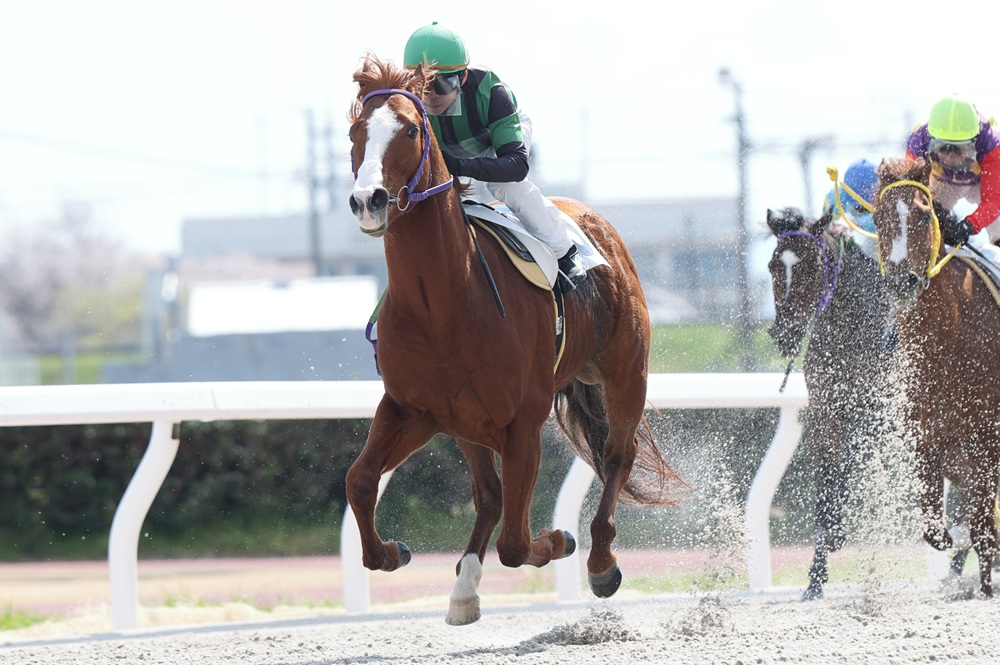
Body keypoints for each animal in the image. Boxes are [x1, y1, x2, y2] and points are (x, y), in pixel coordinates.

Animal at [344, 55, 678, 624]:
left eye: (410, 130)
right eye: (355, 132)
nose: (370, 201)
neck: (443, 305)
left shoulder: (522, 423)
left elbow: (518, 544)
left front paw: (562, 542)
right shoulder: (413, 409)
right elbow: (360, 481)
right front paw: (390, 551)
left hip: (625, 373)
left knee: (617, 455)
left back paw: (600, 560)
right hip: (467, 425)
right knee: (490, 496)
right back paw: (463, 589)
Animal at [765, 207, 893, 600]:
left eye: (813, 266)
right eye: (773, 265)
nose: (784, 333)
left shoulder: (879, 413)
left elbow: (848, 459)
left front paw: (836, 529)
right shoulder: (824, 414)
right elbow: (825, 480)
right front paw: (816, 575)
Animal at [873, 156, 1000, 597]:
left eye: (924, 213)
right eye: (876, 218)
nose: (903, 282)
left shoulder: (985, 440)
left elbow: (983, 529)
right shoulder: (927, 440)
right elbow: (936, 526)